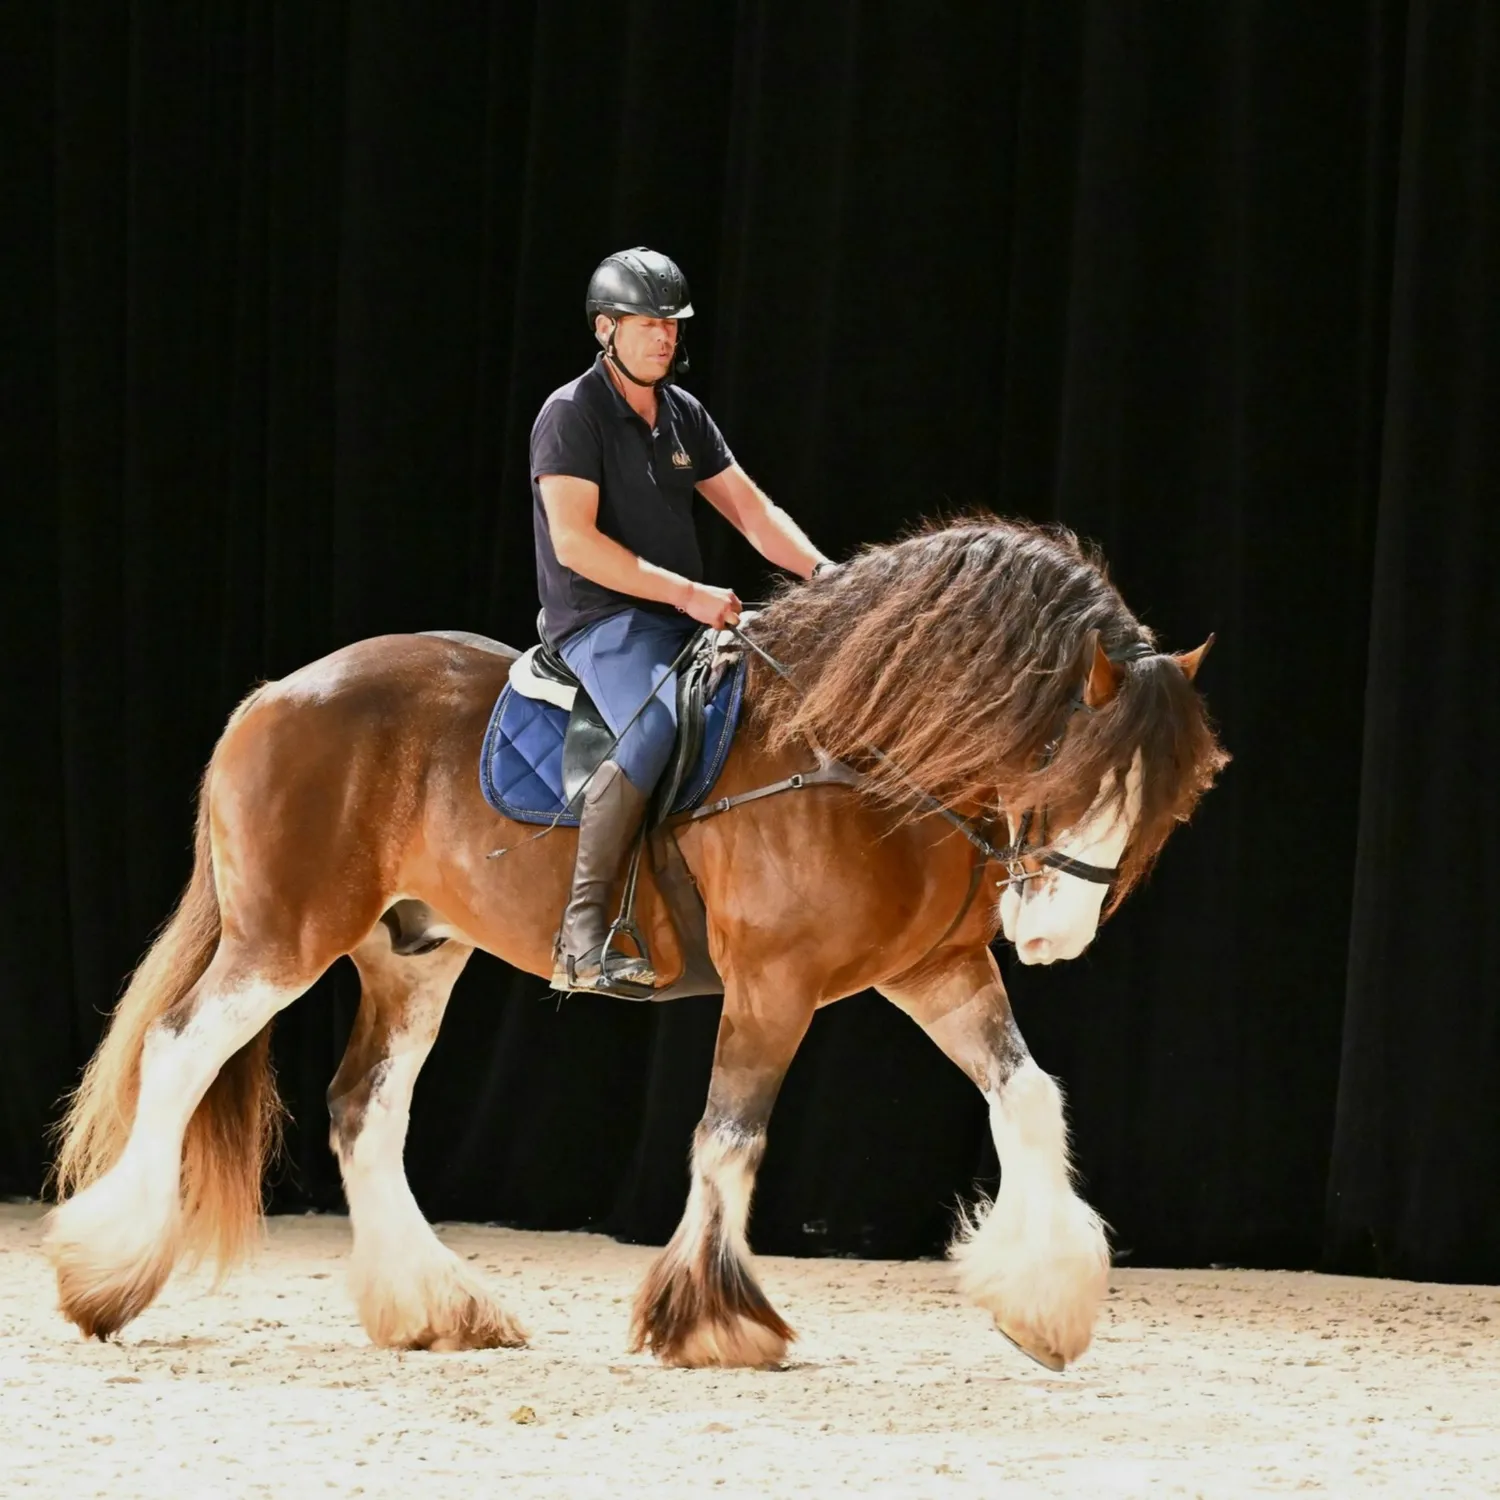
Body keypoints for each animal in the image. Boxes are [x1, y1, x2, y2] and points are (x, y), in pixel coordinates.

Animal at [45, 517, 1226, 1371]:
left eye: (1169, 808)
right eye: (1067, 769)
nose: (1053, 936)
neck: (853, 755)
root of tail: (277, 694)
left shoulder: (936, 973)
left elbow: (1028, 1097)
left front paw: (1048, 1303)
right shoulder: (774, 987)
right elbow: (730, 1138)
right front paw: (718, 1322)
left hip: (412, 955)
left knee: (363, 1108)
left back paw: (435, 1307)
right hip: (284, 940)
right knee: (180, 1052)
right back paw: (105, 1274)